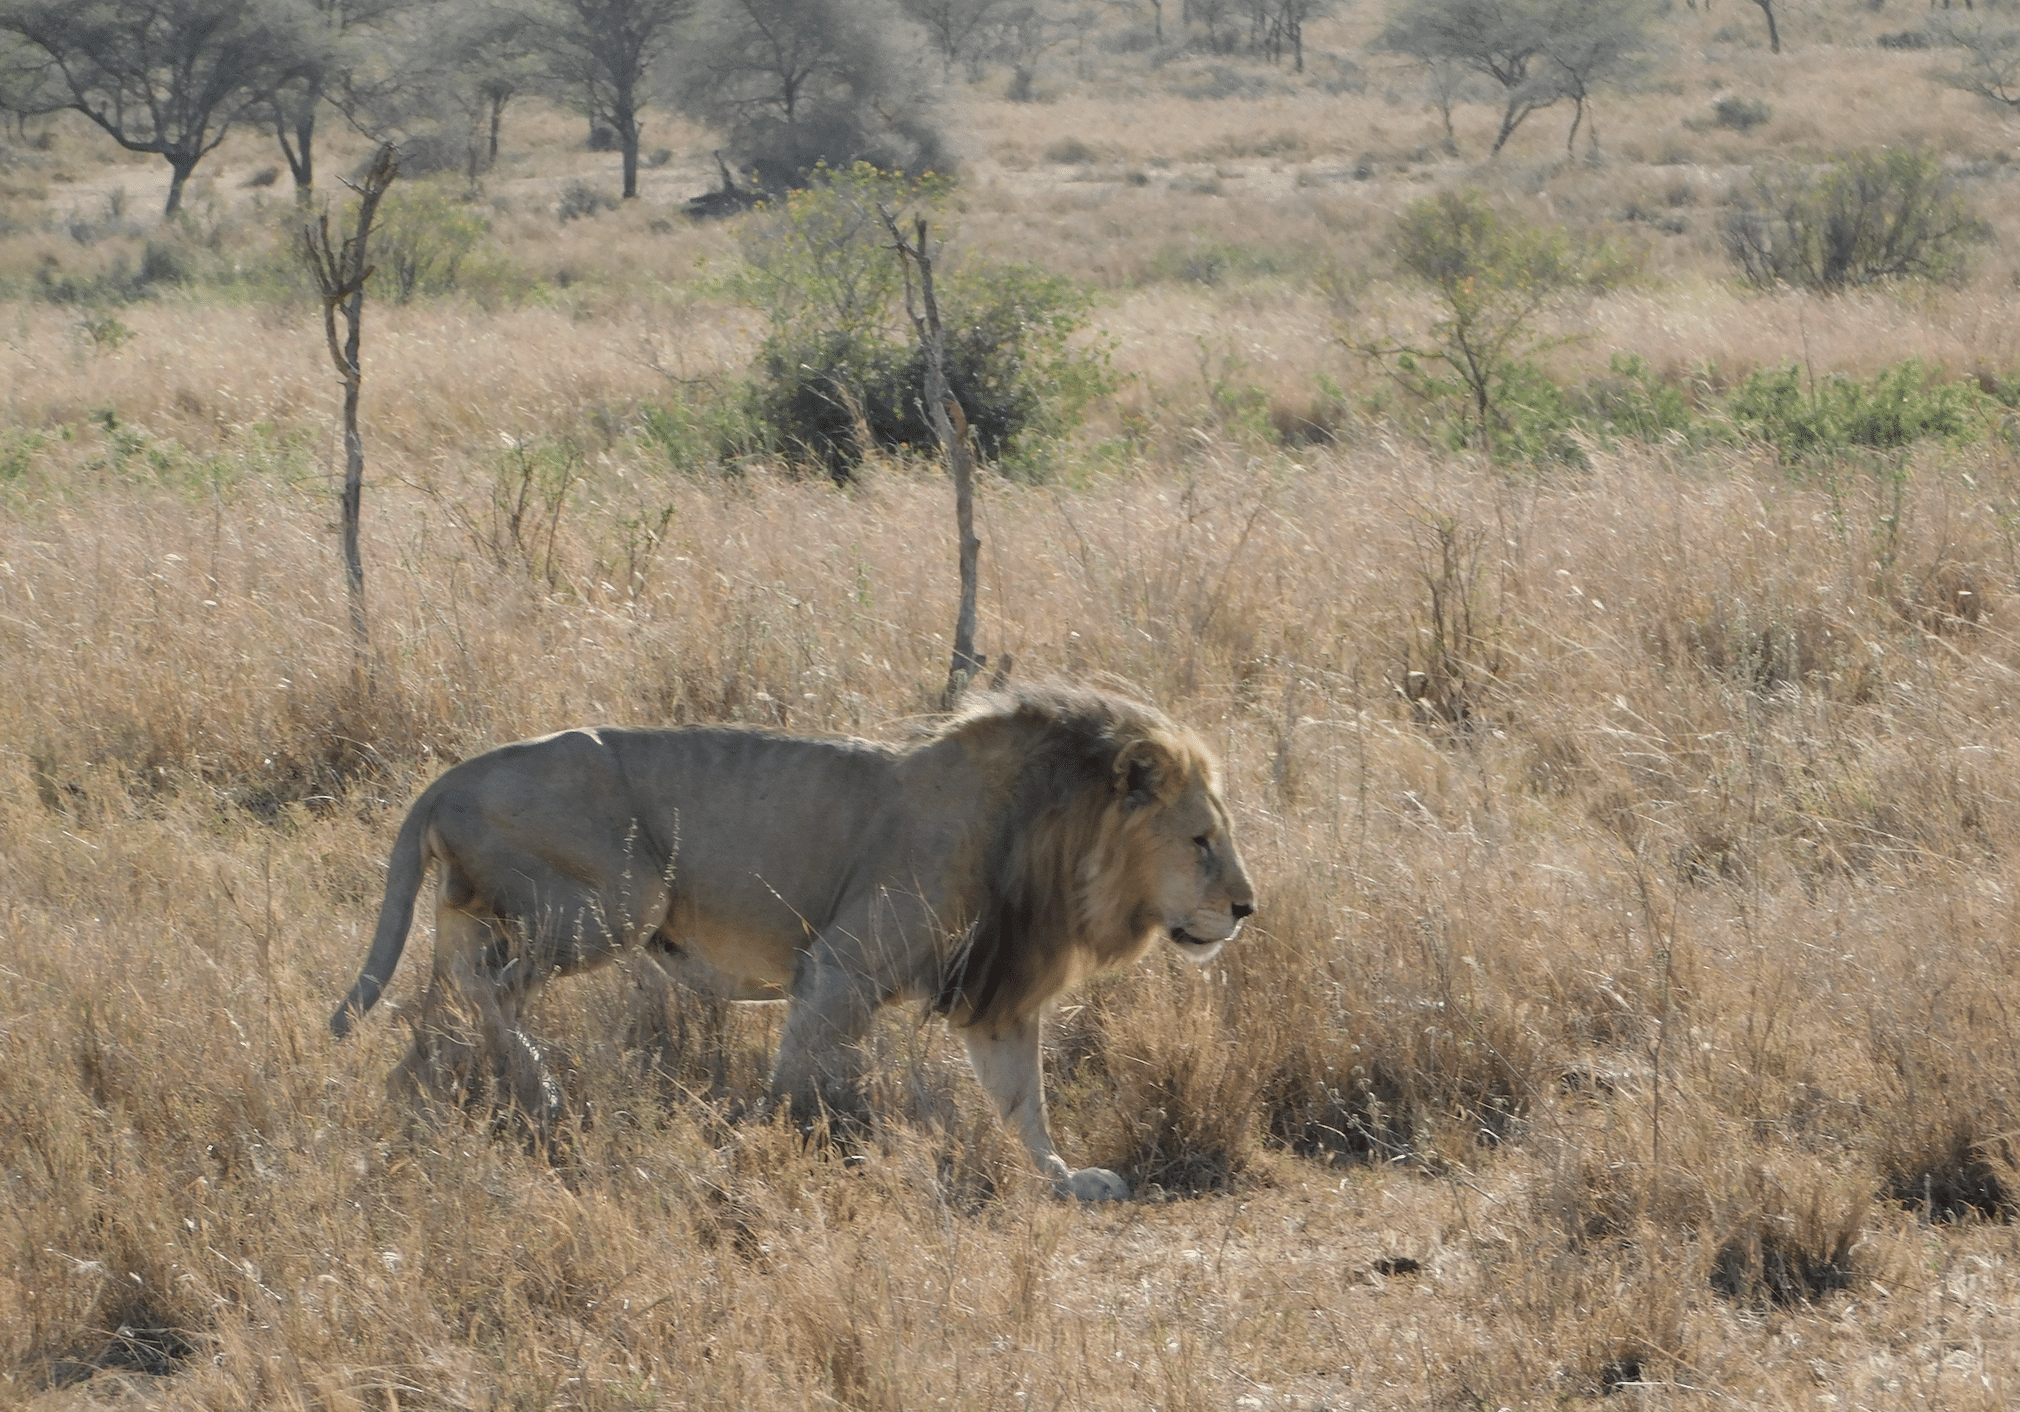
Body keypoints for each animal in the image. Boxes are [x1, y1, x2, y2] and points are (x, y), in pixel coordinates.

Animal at [329, 686, 1244, 1203]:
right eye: (1201, 841)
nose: (1247, 907)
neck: (1054, 830)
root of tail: (448, 778)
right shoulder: (839, 967)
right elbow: (800, 1075)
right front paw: (753, 1156)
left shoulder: (998, 1001)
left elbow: (1024, 1102)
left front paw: (1064, 1180)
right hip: (622, 897)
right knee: (490, 986)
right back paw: (543, 1093)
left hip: (478, 910)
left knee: (443, 997)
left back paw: (426, 1096)